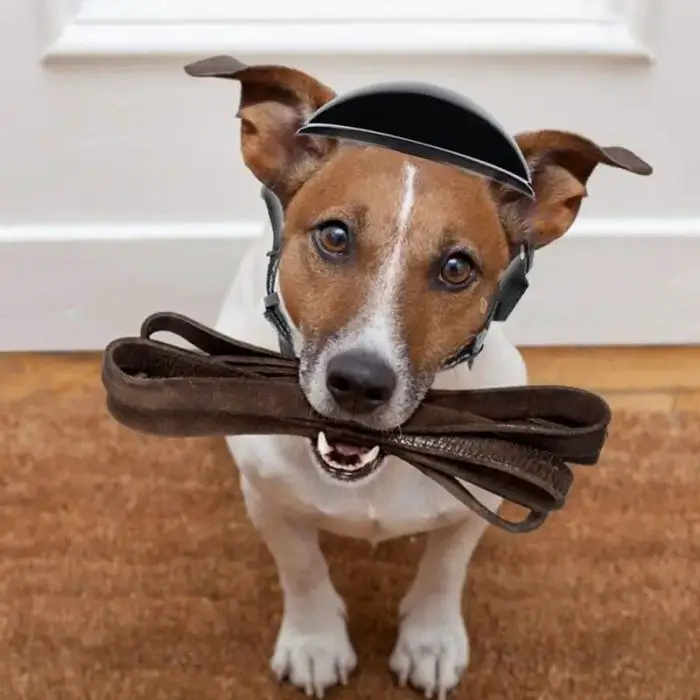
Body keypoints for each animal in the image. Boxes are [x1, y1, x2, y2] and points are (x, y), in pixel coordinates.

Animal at [185, 56, 652, 700]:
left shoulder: (475, 504)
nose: (360, 383)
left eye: (457, 268)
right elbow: (301, 566)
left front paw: (430, 641)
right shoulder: (269, 500)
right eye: (334, 236)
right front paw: (315, 641)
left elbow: (445, 569)